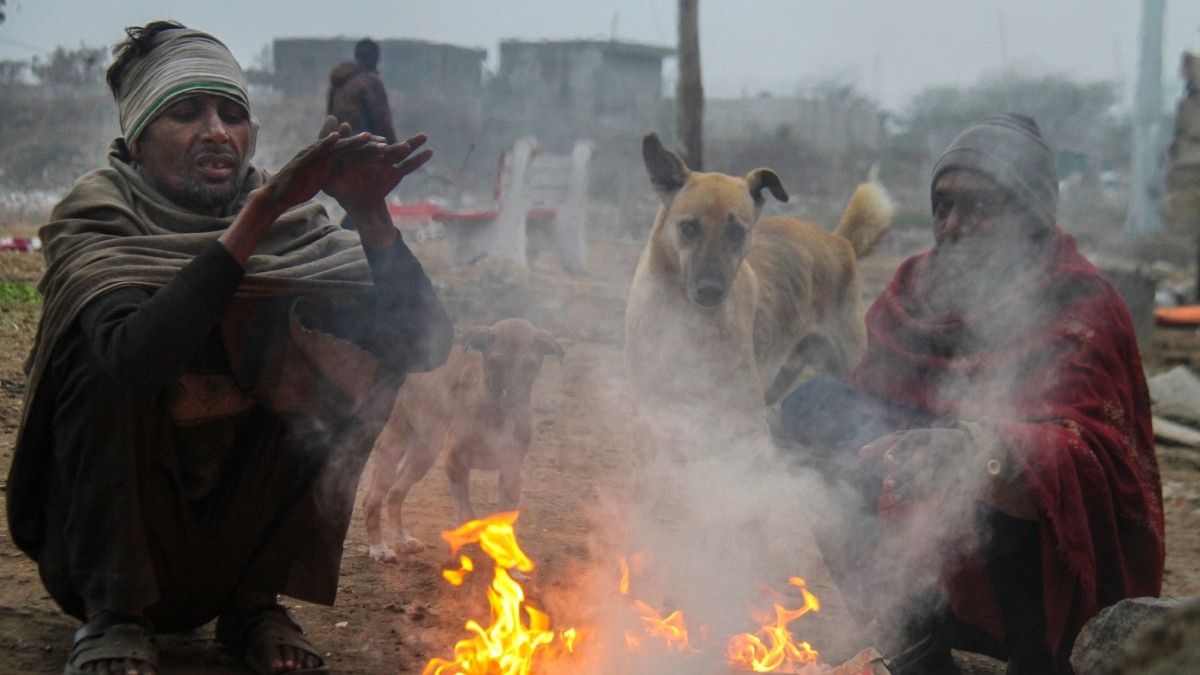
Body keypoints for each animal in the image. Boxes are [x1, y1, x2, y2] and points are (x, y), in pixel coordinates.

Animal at [362, 317, 564, 559]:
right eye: (495, 362)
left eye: (529, 365)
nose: (513, 400)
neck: (496, 414)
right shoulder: (455, 461)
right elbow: (467, 512)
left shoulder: (512, 471)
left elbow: (507, 521)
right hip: (394, 444)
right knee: (372, 499)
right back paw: (379, 547)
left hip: (425, 451)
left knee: (394, 492)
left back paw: (402, 540)